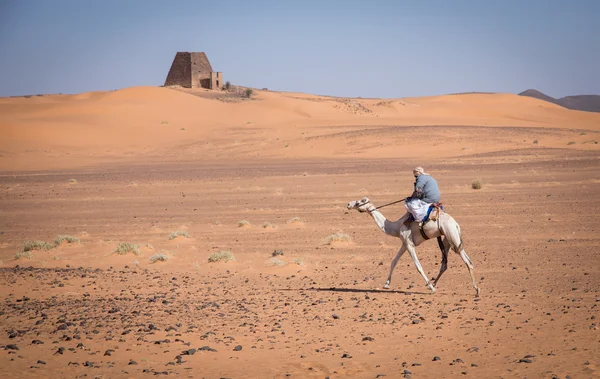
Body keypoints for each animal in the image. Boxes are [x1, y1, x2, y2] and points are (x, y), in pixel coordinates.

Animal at [346, 197, 478, 298]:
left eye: (360, 202)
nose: (348, 204)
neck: (396, 226)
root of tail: (456, 225)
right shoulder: (404, 243)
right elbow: (394, 261)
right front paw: (386, 284)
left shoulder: (409, 244)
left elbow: (418, 266)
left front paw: (432, 289)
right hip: (447, 240)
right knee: (445, 264)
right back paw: (434, 283)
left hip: (453, 237)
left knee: (468, 261)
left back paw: (476, 290)